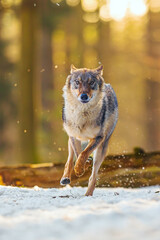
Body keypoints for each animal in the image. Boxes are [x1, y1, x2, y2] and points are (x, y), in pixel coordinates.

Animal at [60, 64, 117, 196]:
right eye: (77, 82)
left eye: (91, 82)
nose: (84, 96)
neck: (82, 114)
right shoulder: (74, 136)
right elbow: (77, 154)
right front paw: (79, 169)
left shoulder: (98, 138)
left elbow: (84, 153)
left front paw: (80, 169)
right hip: (70, 139)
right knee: (69, 159)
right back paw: (65, 178)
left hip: (102, 149)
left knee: (93, 176)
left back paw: (88, 194)